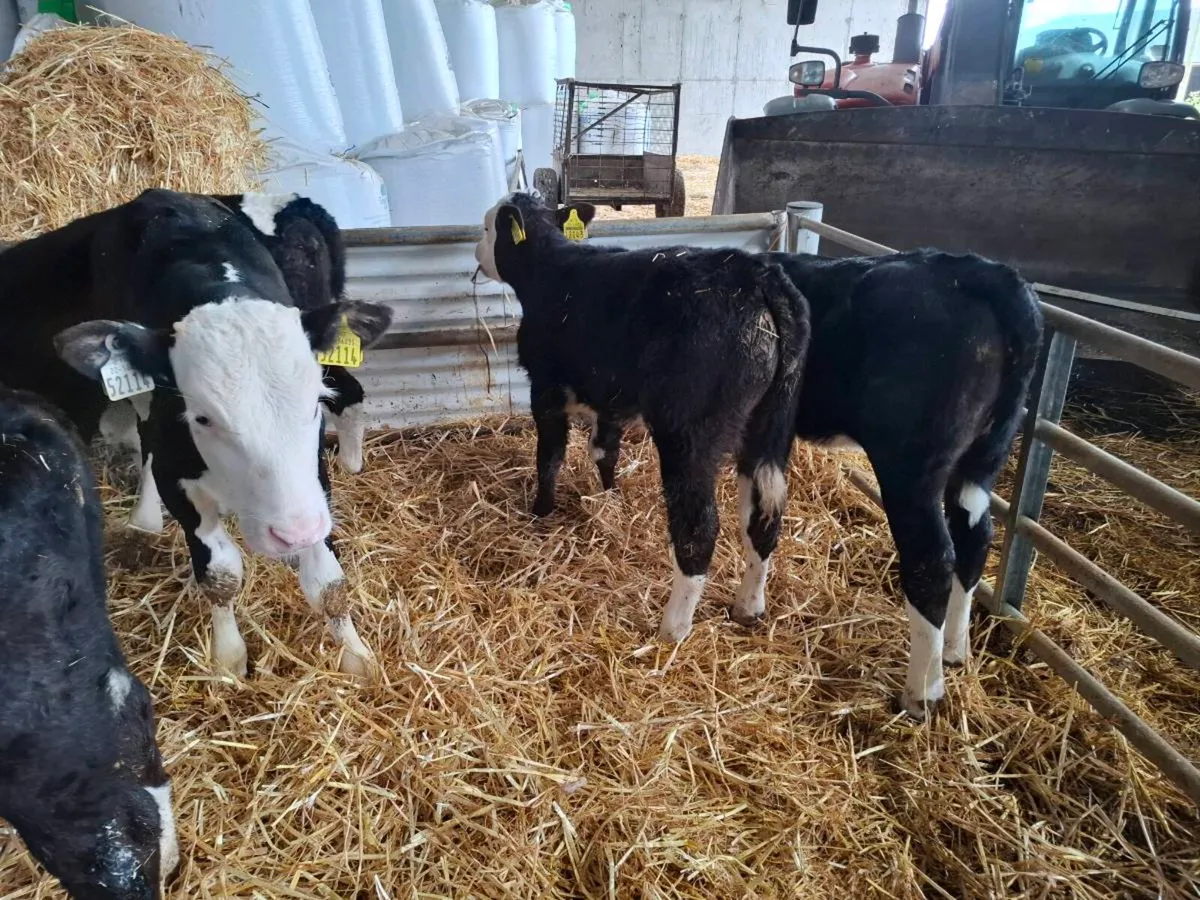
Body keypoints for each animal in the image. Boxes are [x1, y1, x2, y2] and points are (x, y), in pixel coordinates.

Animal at [0, 188, 393, 679]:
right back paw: (145, 517)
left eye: (313, 404)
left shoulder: (311, 483)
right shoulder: (180, 482)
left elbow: (328, 582)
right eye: (202, 417)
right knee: (145, 437)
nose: (293, 533)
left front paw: (357, 656)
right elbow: (221, 575)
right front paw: (228, 659)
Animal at [473, 192, 810, 644]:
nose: (477, 252)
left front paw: (541, 512)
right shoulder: (610, 398)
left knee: (699, 529)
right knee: (762, 518)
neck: (552, 272)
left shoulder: (544, 390)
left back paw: (673, 628)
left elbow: (550, 457)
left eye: (488, 227)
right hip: (769, 426)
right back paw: (749, 607)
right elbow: (604, 451)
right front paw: (610, 497)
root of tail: (757, 274)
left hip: (690, 435)